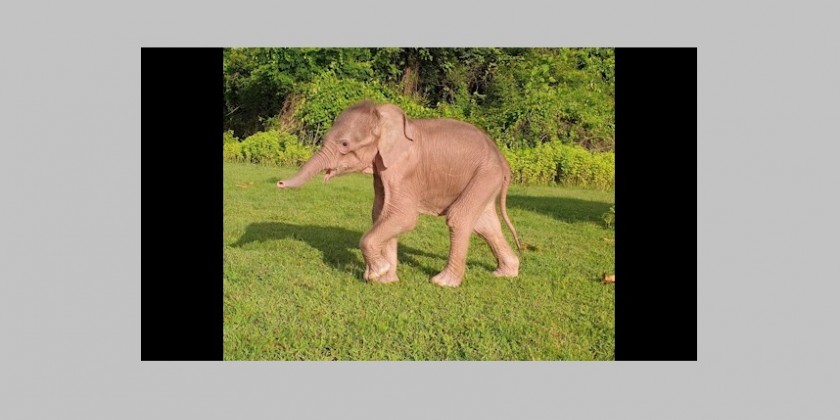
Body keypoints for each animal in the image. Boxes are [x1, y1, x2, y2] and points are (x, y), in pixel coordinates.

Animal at [277, 101, 521, 287]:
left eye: (344, 144)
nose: (278, 183)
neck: (384, 116)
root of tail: (503, 160)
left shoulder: (403, 169)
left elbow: (402, 216)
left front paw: (377, 272)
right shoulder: (382, 169)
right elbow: (381, 213)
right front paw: (386, 280)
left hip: (485, 174)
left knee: (459, 218)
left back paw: (442, 282)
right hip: (485, 179)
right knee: (484, 225)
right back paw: (506, 273)